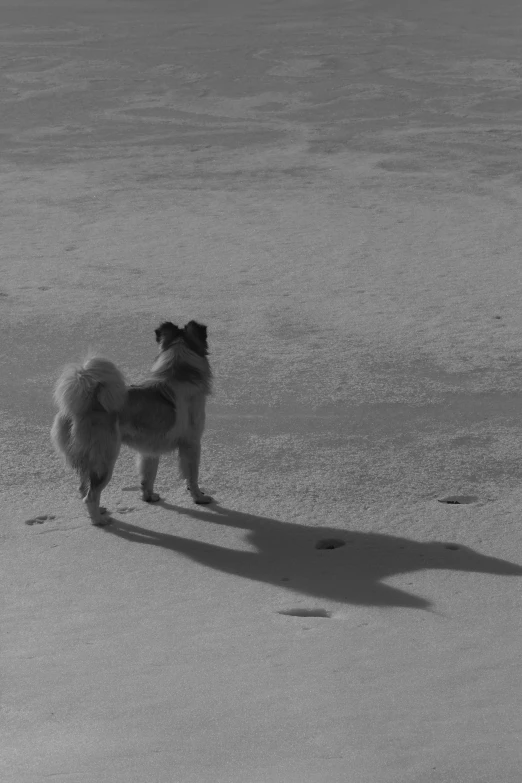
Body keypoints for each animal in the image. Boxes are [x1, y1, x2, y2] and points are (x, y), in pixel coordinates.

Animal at [49, 318, 211, 528]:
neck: (179, 372)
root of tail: (81, 405)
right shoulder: (191, 444)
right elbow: (192, 476)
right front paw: (200, 498)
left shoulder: (149, 450)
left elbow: (148, 476)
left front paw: (149, 497)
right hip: (105, 459)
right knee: (91, 495)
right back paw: (99, 520)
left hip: (87, 460)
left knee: (83, 488)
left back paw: (99, 511)